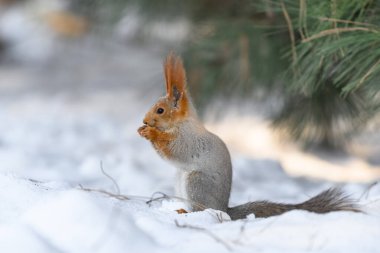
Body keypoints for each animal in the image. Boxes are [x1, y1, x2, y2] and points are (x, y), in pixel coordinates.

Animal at [137, 52, 360, 220]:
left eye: (160, 110)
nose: (144, 120)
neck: (181, 124)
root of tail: (224, 209)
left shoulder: (189, 141)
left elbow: (175, 151)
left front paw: (151, 133)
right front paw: (142, 130)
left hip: (197, 183)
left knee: (202, 209)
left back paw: (187, 213)